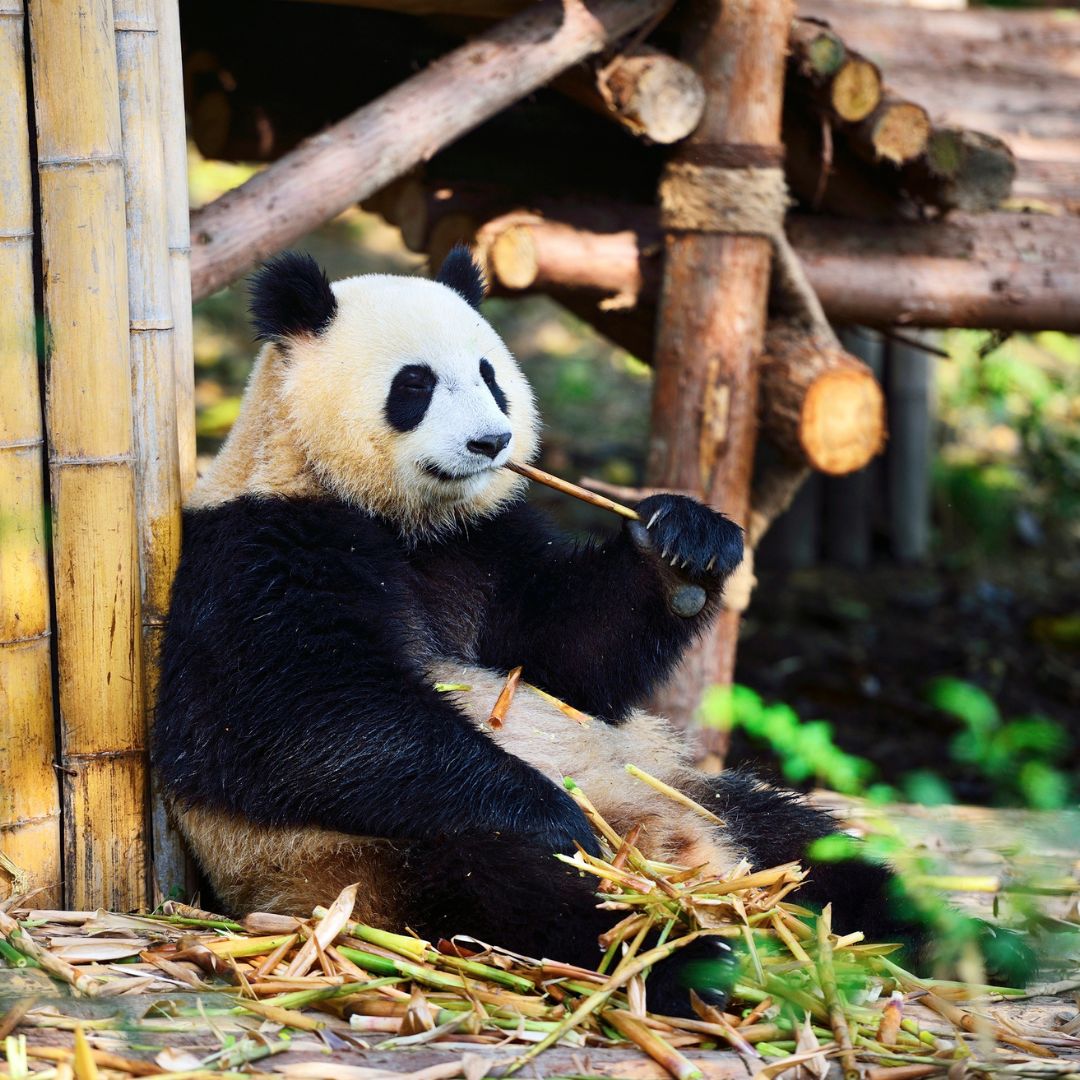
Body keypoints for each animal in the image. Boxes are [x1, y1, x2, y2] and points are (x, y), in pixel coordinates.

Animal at [154, 247, 919, 1013]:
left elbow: (571, 659)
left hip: (675, 783)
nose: (491, 441)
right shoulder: (259, 552)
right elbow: (301, 717)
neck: (400, 519)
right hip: (363, 858)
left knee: (801, 841)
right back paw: (683, 953)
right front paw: (552, 814)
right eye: (415, 384)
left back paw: (917, 927)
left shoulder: (485, 545)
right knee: (516, 890)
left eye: (490, 374)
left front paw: (686, 543)